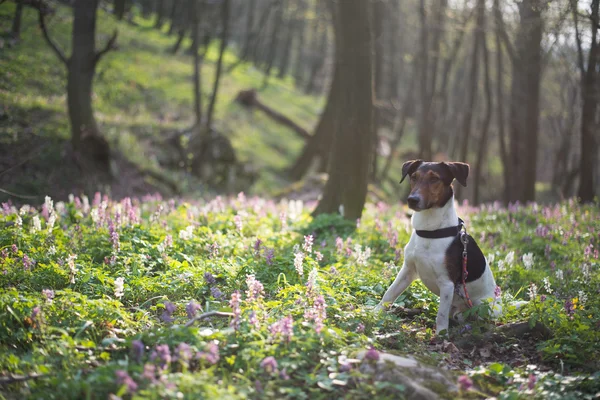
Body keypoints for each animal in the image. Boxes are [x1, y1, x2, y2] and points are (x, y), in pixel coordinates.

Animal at [376, 159, 502, 334]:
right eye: (413, 177)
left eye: (434, 178)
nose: (412, 199)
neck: (430, 231)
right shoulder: (408, 270)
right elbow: (389, 294)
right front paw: (374, 313)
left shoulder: (447, 283)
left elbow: (441, 315)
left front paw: (441, 335)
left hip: (482, 305)